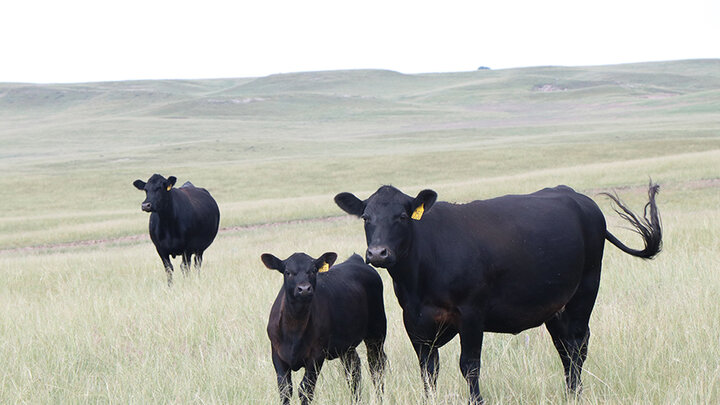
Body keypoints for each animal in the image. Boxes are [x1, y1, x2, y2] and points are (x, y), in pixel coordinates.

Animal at [261, 252, 387, 405]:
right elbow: (285, 389)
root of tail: (356, 260)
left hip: (377, 331)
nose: (304, 289)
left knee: (376, 366)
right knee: (353, 369)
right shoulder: (277, 354)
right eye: (288, 272)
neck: (294, 329)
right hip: (347, 345)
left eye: (313, 270)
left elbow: (305, 389)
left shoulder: (316, 354)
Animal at [334, 183, 662, 404]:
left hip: (585, 290)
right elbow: (428, 369)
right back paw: (569, 392)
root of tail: (578, 197)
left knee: (578, 345)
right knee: (565, 348)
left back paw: (576, 393)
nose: (378, 253)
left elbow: (469, 365)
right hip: (556, 307)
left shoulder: (471, 314)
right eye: (366, 217)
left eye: (402, 216)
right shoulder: (415, 322)